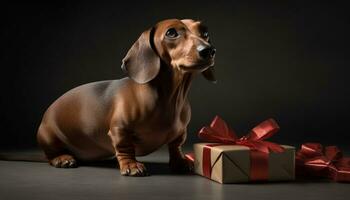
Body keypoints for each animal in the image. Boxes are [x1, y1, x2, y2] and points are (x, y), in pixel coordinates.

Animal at [36, 18, 216, 176]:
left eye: (205, 32)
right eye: (171, 32)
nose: (209, 50)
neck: (170, 98)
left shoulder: (180, 132)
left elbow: (176, 146)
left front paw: (180, 162)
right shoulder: (119, 129)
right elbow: (125, 147)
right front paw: (131, 166)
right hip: (48, 136)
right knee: (50, 155)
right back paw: (62, 159)